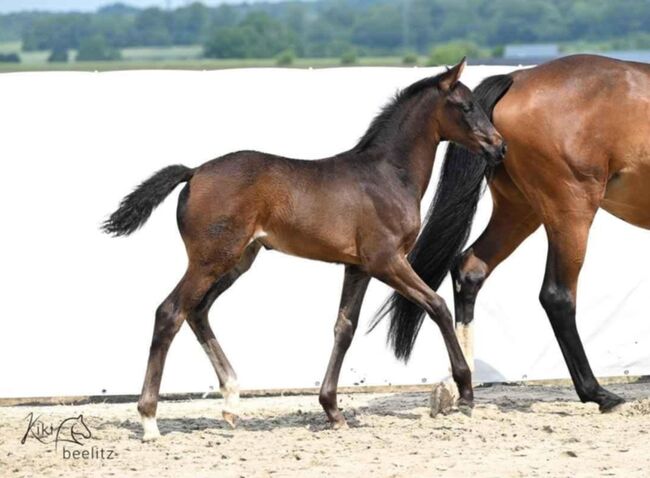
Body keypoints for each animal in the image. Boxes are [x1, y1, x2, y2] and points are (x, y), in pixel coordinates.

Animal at [102, 58, 506, 441]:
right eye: (466, 106)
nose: (499, 146)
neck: (388, 175)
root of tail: (195, 171)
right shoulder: (386, 261)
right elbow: (437, 306)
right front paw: (465, 391)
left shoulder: (357, 267)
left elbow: (344, 328)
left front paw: (332, 410)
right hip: (210, 260)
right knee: (170, 312)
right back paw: (150, 420)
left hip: (237, 261)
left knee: (198, 312)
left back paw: (231, 402)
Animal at [377, 54, 650, 415]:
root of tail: (517, 79)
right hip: (570, 211)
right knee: (557, 296)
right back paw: (598, 394)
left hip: (519, 210)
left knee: (470, 270)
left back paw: (461, 389)